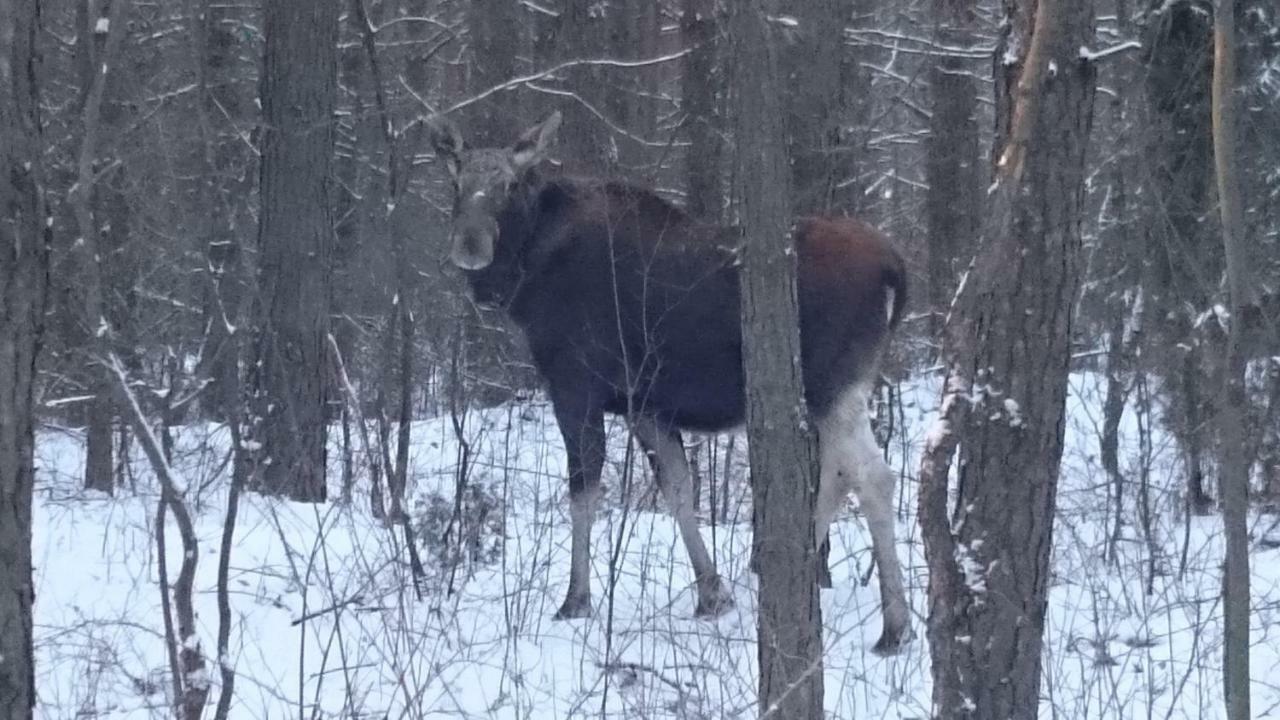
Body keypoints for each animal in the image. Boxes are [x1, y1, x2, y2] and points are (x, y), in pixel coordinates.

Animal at [427, 110, 911, 650]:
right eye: (455, 180)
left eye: (508, 185)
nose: (470, 244)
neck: (526, 277)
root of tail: (896, 267)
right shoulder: (645, 405)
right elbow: (679, 489)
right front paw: (712, 594)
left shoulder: (575, 386)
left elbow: (584, 494)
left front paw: (576, 600)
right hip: (835, 389)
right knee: (842, 473)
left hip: (833, 383)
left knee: (871, 476)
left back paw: (894, 626)